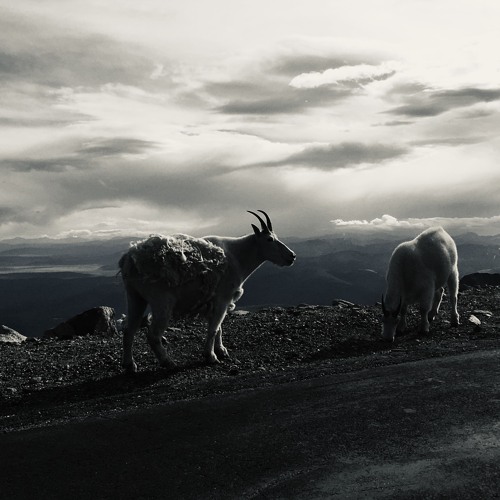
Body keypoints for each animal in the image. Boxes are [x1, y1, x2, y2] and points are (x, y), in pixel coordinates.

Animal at [119, 210, 296, 373]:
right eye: (269, 239)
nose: (292, 256)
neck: (238, 257)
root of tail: (130, 260)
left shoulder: (215, 302)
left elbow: (218, 327)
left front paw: (221, 351)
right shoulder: (222, 298)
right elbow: (213, 329)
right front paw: (210, 356)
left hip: (134, 295)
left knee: (129, 329)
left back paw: (129, 365)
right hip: (161, 300)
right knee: (153, 335)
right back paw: (167, 362)